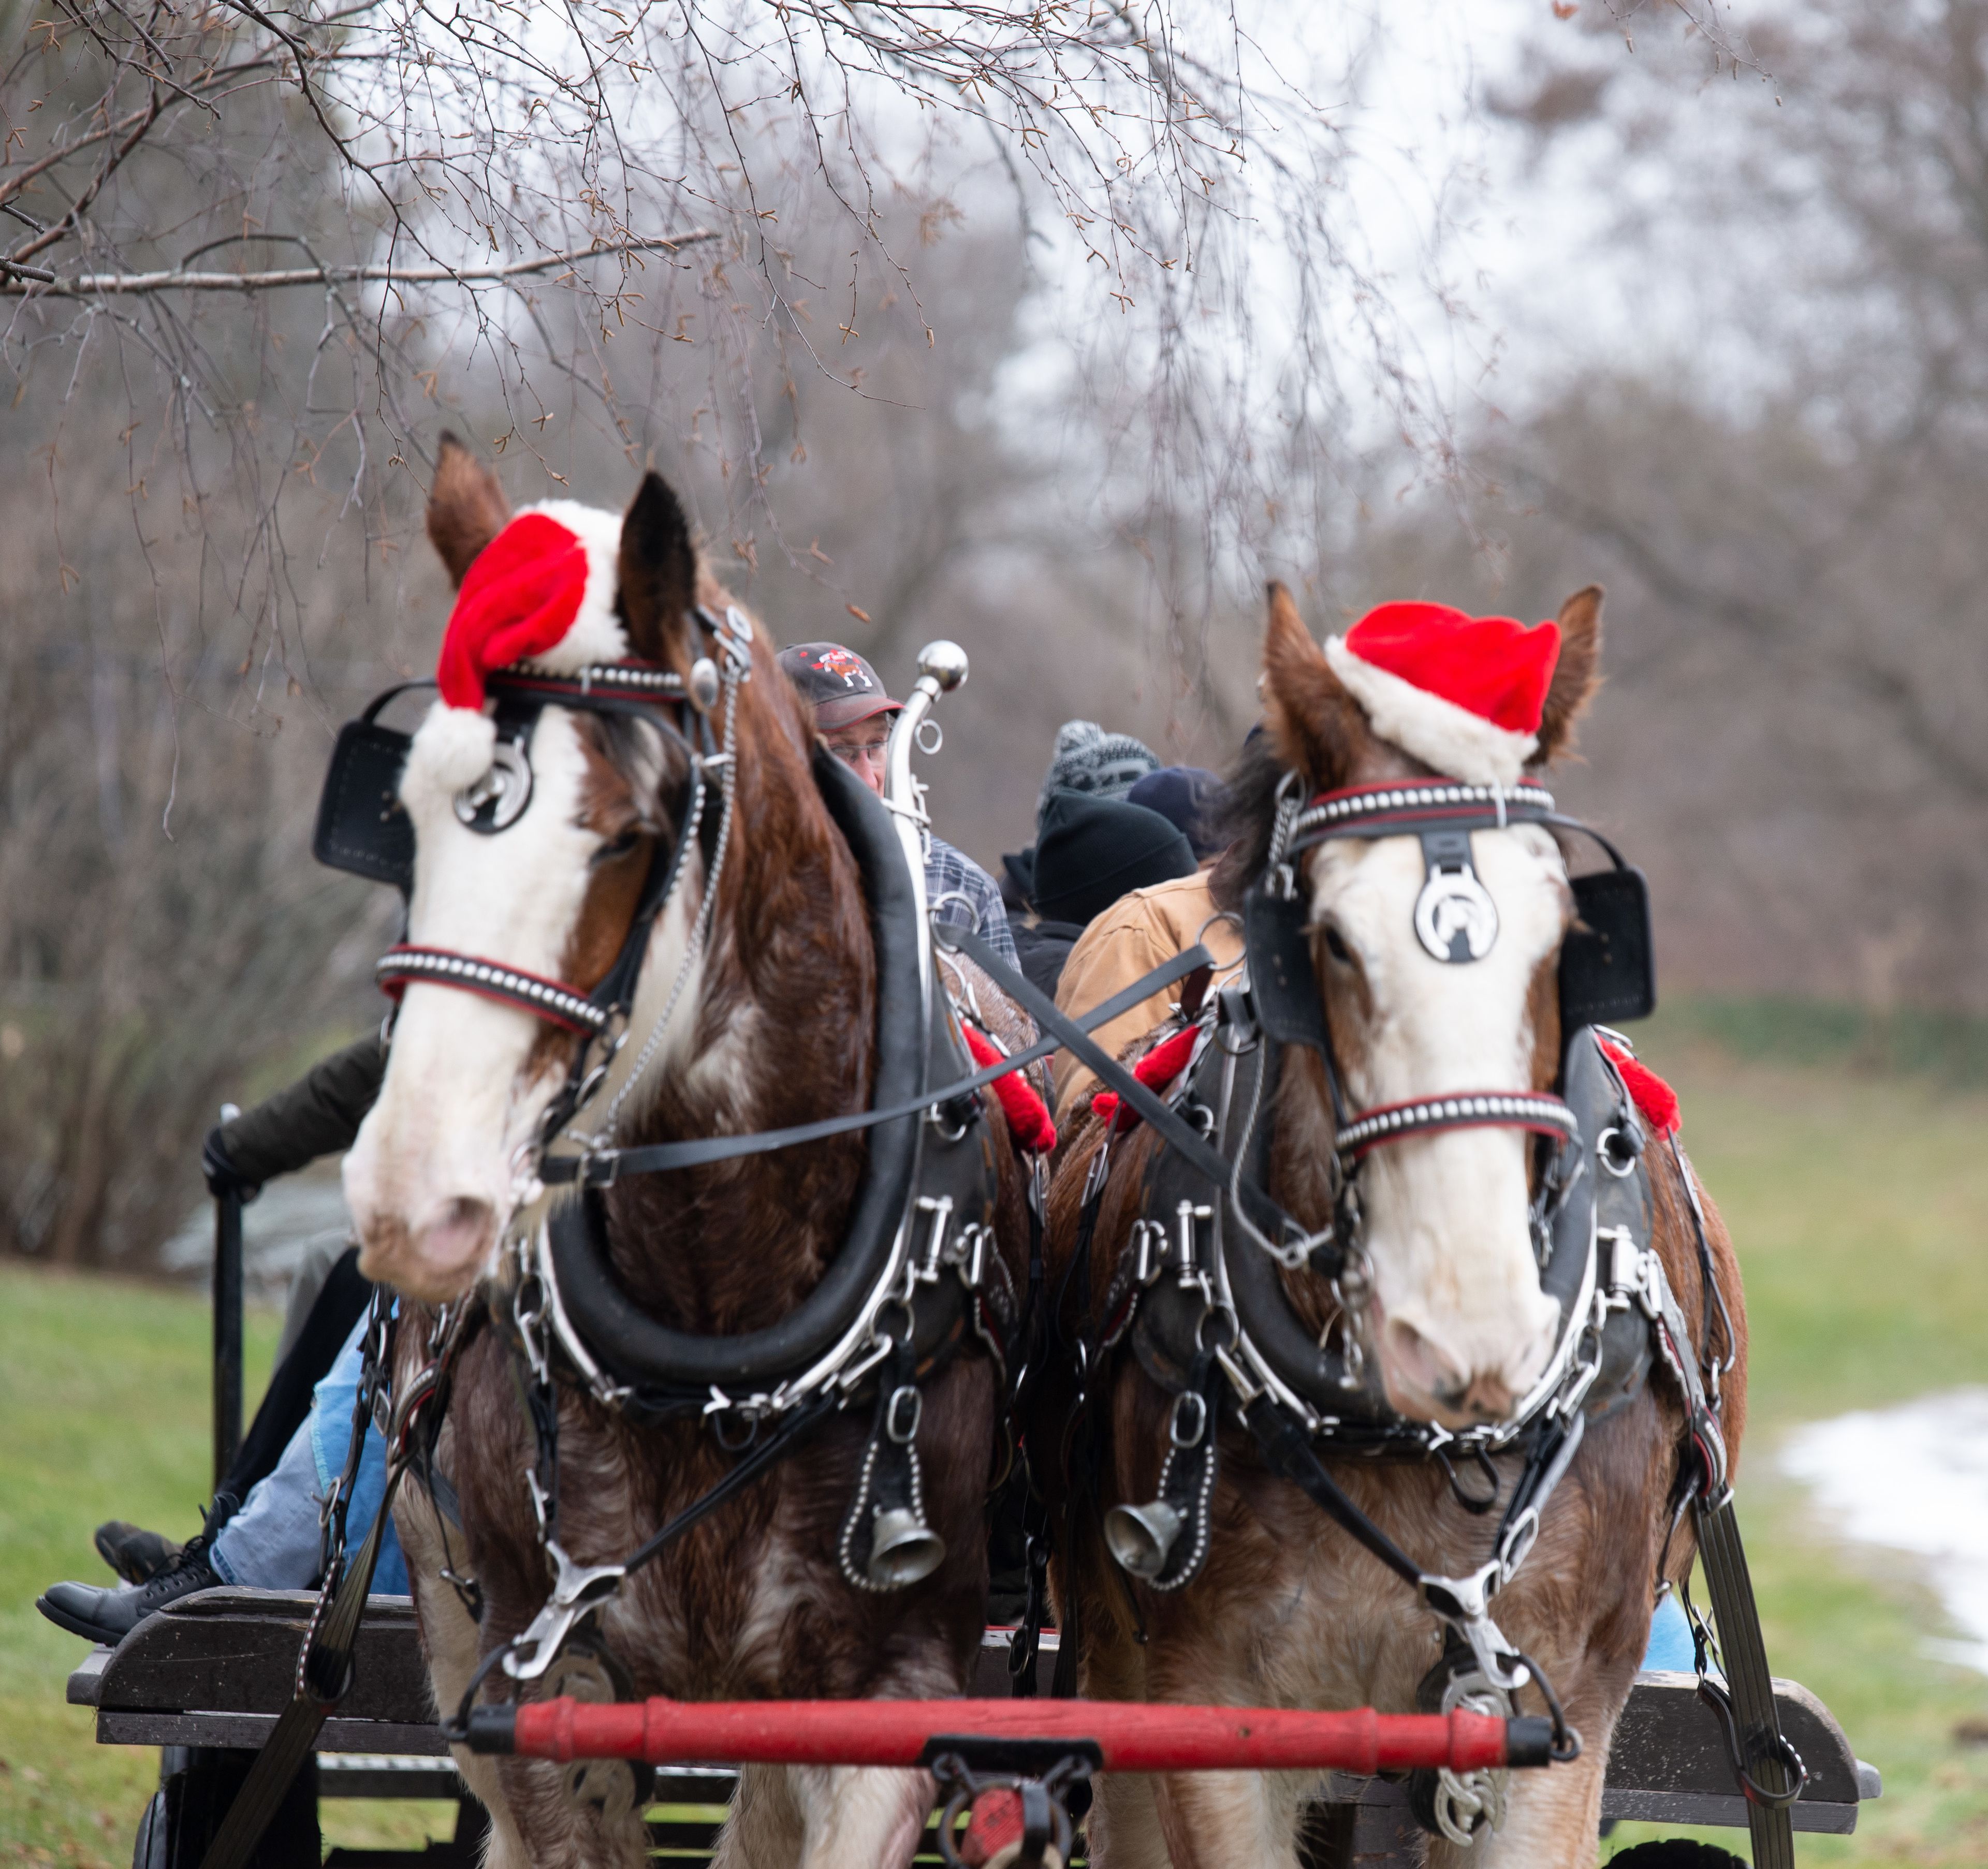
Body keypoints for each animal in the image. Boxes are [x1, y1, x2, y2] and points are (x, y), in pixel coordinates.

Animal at [339, 439, 1036, 1869]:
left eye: (623, 831)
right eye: (410, 811)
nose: (409, 1186)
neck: (722, 1301)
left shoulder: (889, 1684)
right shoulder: (538, 1671)